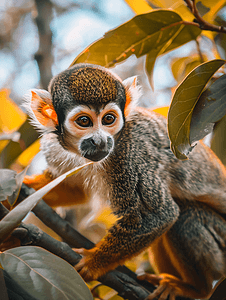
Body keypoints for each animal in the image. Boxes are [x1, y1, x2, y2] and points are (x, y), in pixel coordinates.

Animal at [22, 62, 226, 298]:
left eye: (109, 119)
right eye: (84, 121)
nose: (100, 141)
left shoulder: (128, 155)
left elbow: (158, 215)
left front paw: (93, 262)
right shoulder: (55, 147)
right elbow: (74, 190)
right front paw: (21, 189)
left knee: (186, 216)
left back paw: (195, 289)